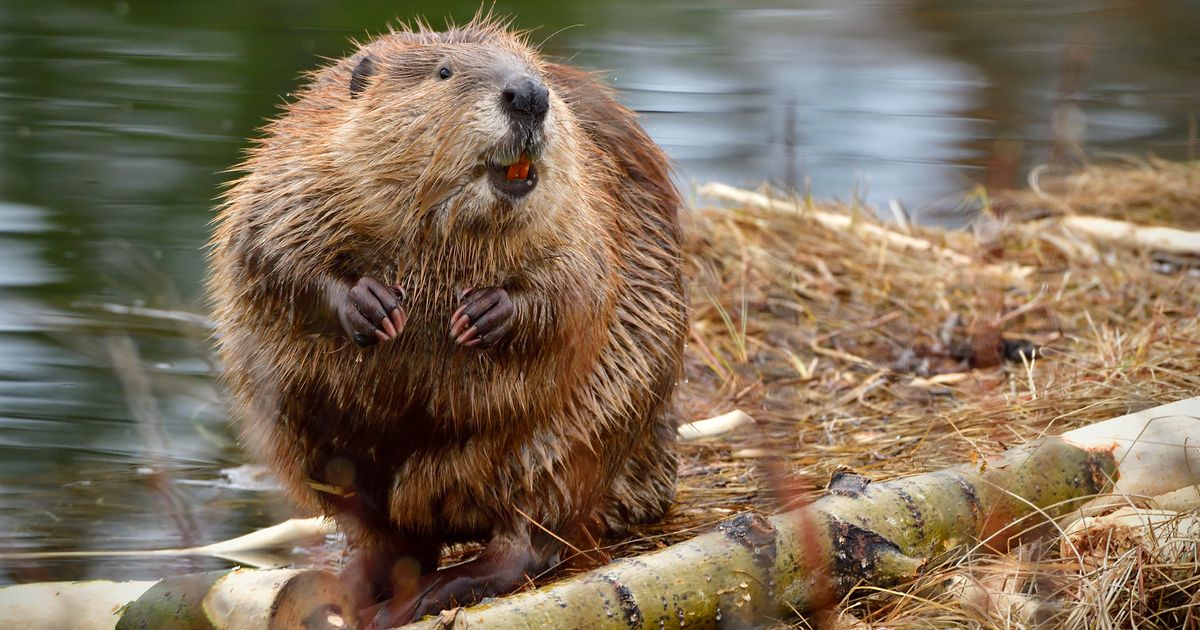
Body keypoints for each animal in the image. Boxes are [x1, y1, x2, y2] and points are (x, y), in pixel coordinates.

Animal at [208, 14, 686, 624]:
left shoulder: (588, 199)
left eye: (532, 70)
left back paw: (427, 593)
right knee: (387, 535)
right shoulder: (299, 162)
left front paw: (484, 313)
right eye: (444, 71)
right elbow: (266, 247)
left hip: (576, 435)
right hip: (310, 442)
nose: (529, 95)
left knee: (529, 537)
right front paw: (373, 306)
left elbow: (579, 283)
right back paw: (348, 587)